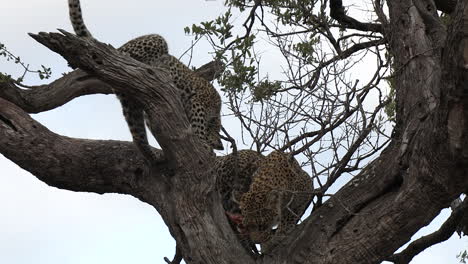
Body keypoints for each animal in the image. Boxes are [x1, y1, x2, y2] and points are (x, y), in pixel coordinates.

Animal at [66, 0, 224, 163]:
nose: (221, 146)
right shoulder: (199, 102)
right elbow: (199, 125)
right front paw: (204, 145)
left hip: (130, 103)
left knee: (138, 136)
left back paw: (153, 156)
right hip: (155, 41)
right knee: (123, 53)